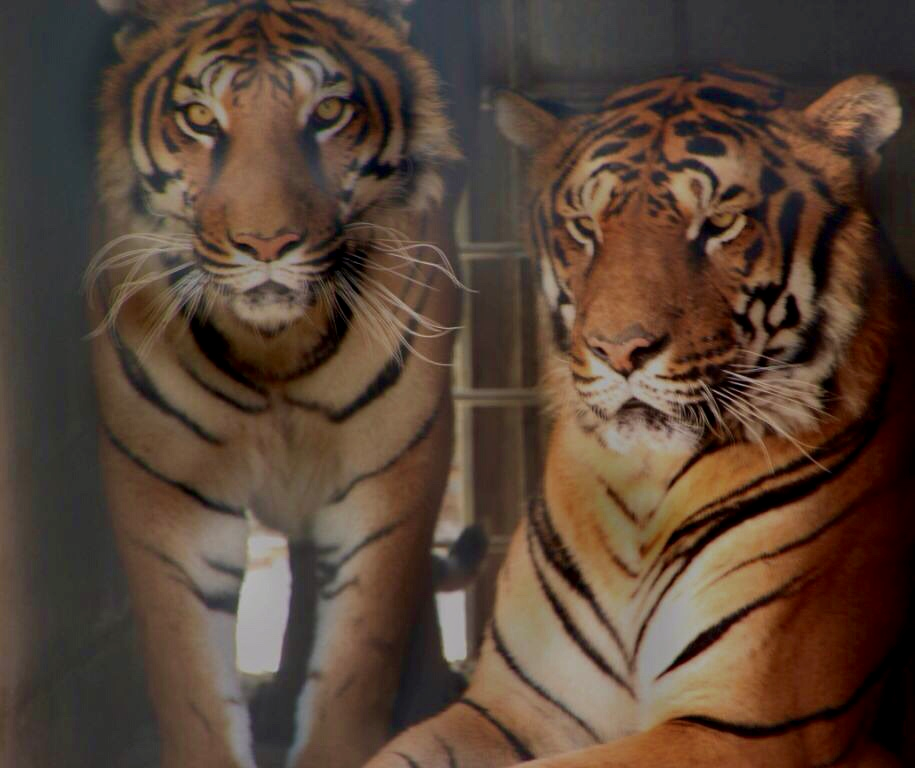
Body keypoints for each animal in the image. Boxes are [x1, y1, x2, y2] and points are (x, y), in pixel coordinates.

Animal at [87, 1, 462, 766]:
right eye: (200, 117)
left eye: (328, 112)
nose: (266, 245)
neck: (273, 345)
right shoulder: (166, 487)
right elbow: (191, 686)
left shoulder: (390, 470)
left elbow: (356, 662)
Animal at [364, 68, 915, 768]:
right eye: (585, 226)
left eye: (720, 224)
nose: (620, 350)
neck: (643, 488)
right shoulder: (508, 708)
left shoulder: (745, 727)